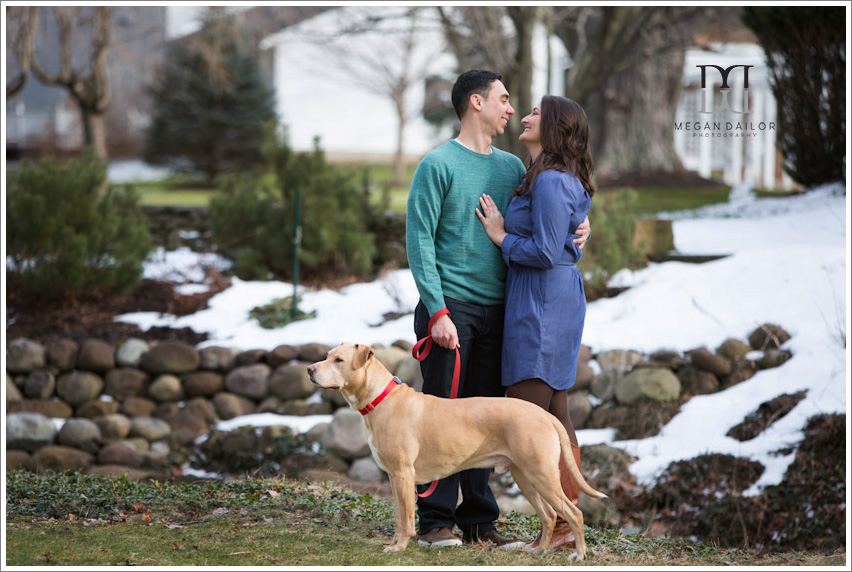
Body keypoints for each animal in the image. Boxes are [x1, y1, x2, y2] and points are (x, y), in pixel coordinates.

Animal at [306, 342, 604, 560]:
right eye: (326, 356)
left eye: (339, 360)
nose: (309, 369)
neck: (381, 399)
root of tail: (545, 415)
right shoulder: (394, 477)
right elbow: (399, 516)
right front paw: (394, 543)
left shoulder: (403, 474)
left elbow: (407, 518)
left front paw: (399, 547)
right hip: (525, 477)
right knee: (550, 515)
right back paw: (539, 551)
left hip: (542, 475)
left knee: (573, 513)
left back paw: (578, 555)